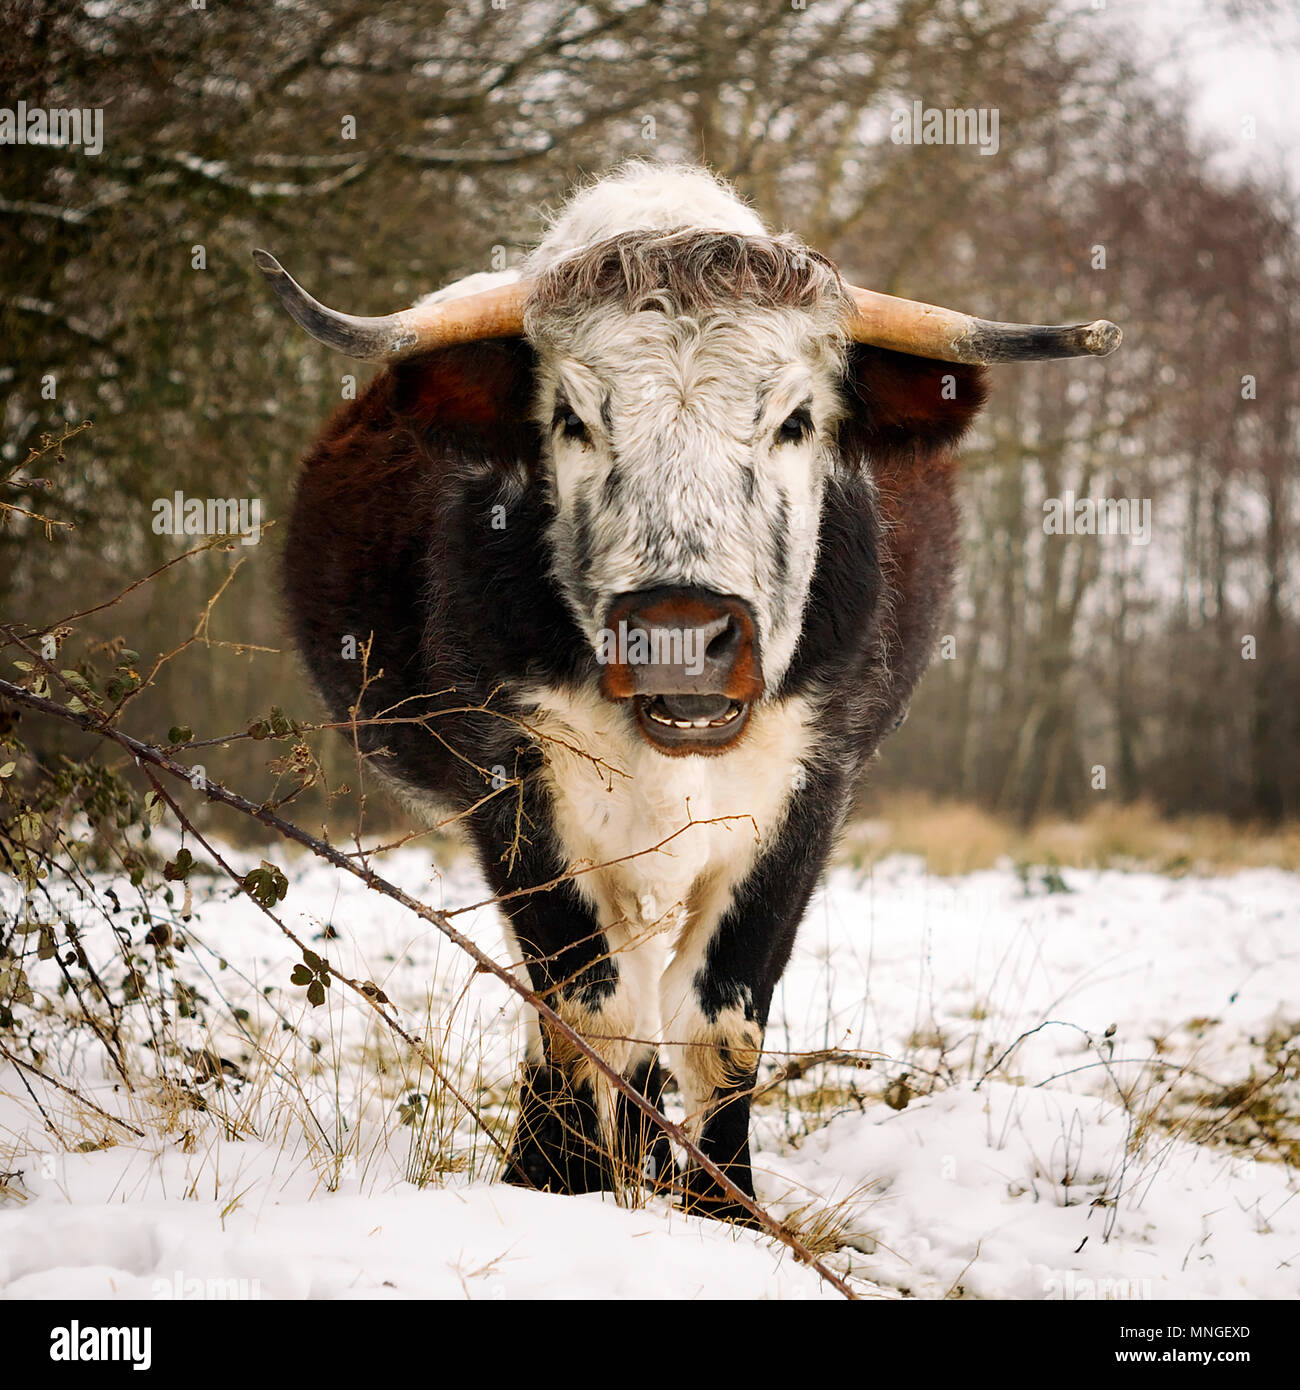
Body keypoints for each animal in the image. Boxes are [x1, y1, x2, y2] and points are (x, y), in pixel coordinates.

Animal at [256, 163, 1119, 1219]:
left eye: (795, 420)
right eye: (573, 419)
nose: (677, 635)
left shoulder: (807, 795)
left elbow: (720, 1022)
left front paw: (722, 1208)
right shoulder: (511, 785)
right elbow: (583, 1003)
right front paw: (560, 1186)